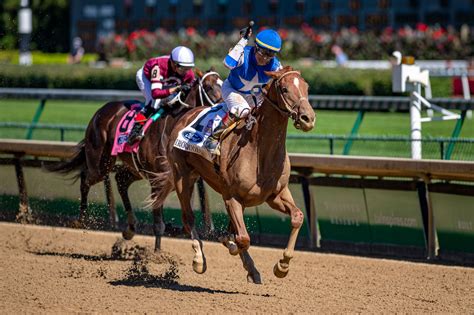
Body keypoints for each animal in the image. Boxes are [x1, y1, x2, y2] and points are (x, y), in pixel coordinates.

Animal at [45, 69, 223, 252]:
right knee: (86, 179)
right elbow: (159, 222)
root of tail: (101, 110)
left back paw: (130, 228)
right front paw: (157, 253)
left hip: (135, 168)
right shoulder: (157, 180)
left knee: (120, 180)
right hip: (101, 163)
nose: (224, 107)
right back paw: (81, 219)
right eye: (208, 87)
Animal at [161, 66, 316, 284]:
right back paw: (199, 259)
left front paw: (282, 266)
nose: (308, 118)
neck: (259, 150)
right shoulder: (232, 197)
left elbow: (298, 217)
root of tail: (185, 115)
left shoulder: (275, 195)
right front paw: (230, 243)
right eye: (285, 89)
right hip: (182, 177)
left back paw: (252, 268)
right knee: (188, 218)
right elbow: (242, 238)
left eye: (306, 87)